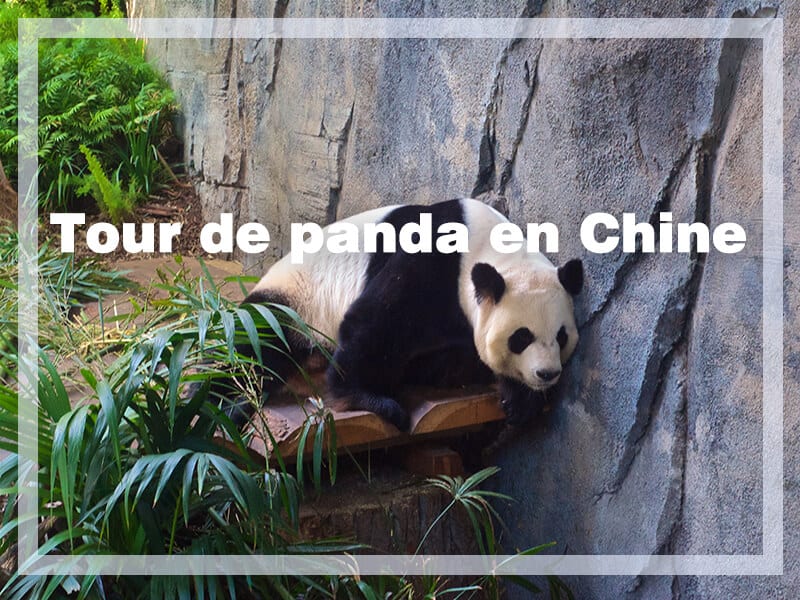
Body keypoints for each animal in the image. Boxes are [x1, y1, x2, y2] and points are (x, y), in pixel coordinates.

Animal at [235, 198, 582, 431]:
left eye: (561, 336)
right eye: (521, 337)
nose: (547, 373)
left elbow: (445, 365)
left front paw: (520, 399)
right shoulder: (435, 257)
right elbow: (375, 320)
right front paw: (369, 398)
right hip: (294, 305)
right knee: (258, 344)